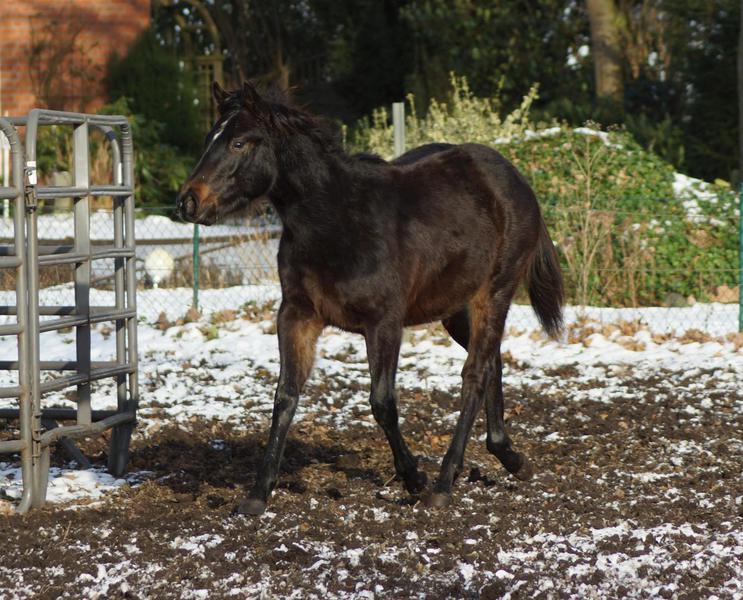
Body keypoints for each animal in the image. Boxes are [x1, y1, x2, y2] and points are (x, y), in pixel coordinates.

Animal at [176, 82, 564, 515]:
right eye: (210, 139)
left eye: (239, 142)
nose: (188, 202)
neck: (336, 221)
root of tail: (515, 178)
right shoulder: (296, 315)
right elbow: (285, 396)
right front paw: (258, 494)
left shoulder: (384, 323)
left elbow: (381, 402)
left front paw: (414, 478)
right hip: (454, 308)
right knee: (492, 361)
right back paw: (510, 457)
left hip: (494, 293)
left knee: (475, 373)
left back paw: (444, 483)